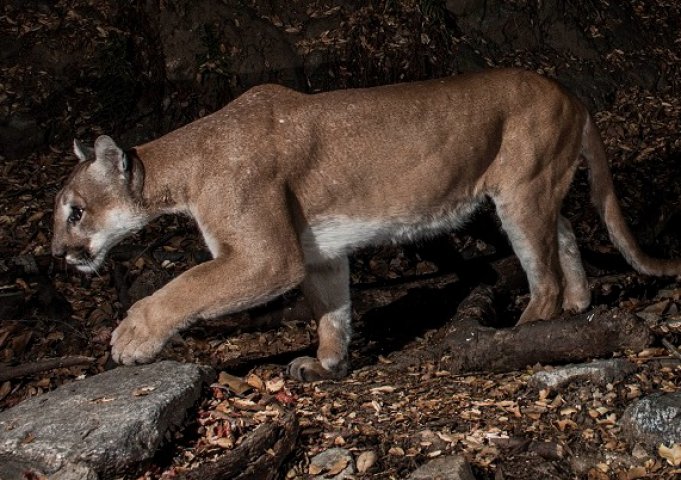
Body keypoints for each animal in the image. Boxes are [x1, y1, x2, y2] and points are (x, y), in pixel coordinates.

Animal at [50, 69, 676, 380]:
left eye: (75, 210)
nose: (57, 253)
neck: (181, 167)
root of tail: (571, 91)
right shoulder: (318, 250)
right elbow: (333, 309)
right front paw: (327, 363)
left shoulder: (266, 256)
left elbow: (185, 287)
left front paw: (131, 338)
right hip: (536, 191)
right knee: (566, 234)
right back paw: (578, 306)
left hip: (520, 192)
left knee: (541, 272)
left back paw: (523, 334)